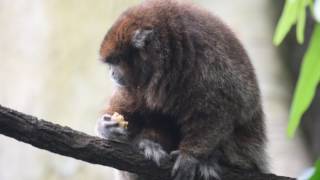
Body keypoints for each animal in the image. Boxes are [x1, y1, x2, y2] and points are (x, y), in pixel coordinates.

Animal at [95, 0, 268, 179]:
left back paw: (212, 159)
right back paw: (148, 144)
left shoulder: (209, 63)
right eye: (110, 64)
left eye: (117, 62)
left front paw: (190, 155)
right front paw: (106, 126)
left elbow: (219, 111)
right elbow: (128, 108)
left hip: (246, 154)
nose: (111, 73)